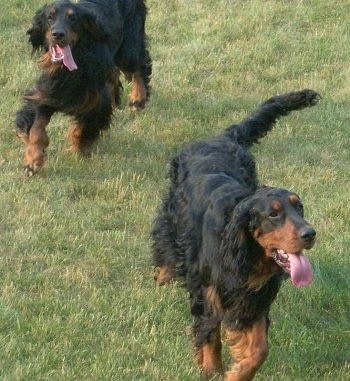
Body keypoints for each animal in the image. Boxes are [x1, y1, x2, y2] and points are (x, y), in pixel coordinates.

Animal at [15, 0, 151, 175]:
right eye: (49, 17)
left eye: (73, 18)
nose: (57, 34)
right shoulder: (48, 93)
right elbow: (36, 128)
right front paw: (32, 160)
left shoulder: (95, 99)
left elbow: (86, 125)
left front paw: (78, 147)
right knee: (115, 73)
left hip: (128, 46)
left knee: (139, 65)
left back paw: (138, 98)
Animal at [151, 90, 320, 380]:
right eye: (273, 214)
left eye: (299, 207)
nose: (310, 233)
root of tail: (223, 136)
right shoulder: (208, 292)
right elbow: (210, 334)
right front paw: (211, 370)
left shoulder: (254, 300)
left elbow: (259, 349)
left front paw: (237, 371)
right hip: (172, 214)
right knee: (165, 240)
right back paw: (163, 275)